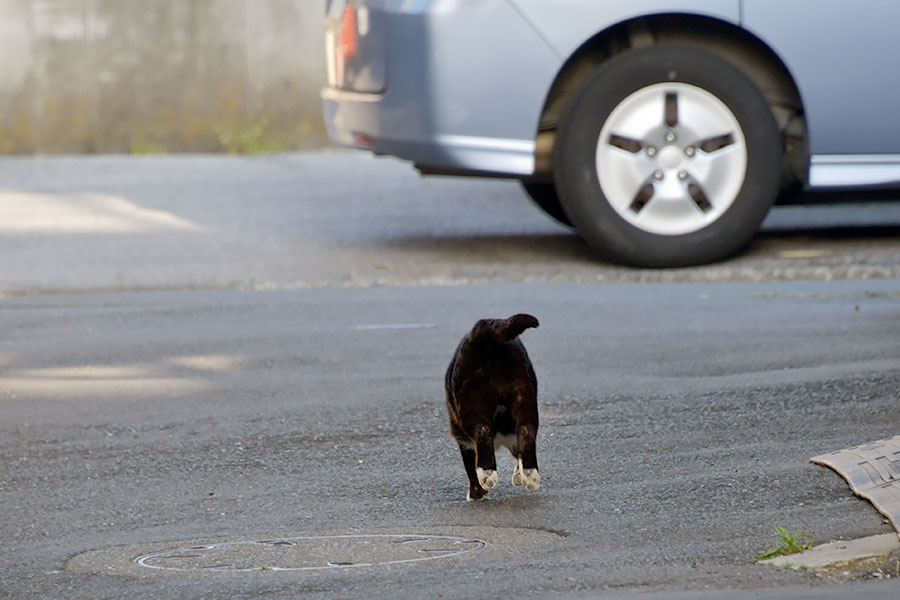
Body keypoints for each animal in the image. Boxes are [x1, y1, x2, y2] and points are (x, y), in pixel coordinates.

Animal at [444, 314, 540, 502]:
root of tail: (484, 328)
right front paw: (520, 475)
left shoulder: (464, 442)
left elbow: (470, 468)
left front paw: (477, 493)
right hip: (524, 393)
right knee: (526, 430)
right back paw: (530, 475)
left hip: (470, 401)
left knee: (482, 430)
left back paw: (487, 474)